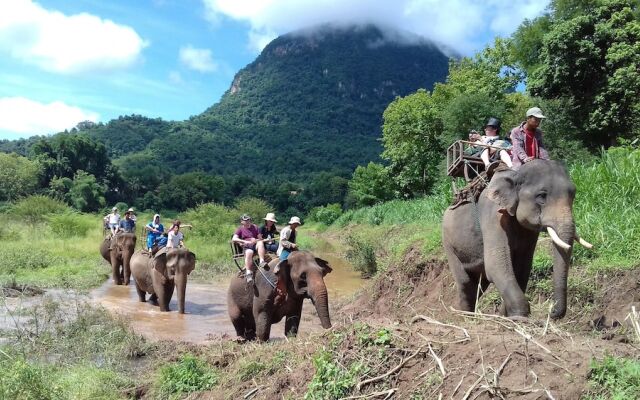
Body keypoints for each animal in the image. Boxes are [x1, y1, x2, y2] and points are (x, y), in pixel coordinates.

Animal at [442, 159, 592, 318]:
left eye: (573, 194)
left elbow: (522, 267)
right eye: (541, 196)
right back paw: (464, 316)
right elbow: (496, 265)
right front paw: (520, 317)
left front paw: (507, 315)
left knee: (479, 284)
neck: (515, 174)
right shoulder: (492, 215)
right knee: (465, 282)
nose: (551, 312)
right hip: (448, 244)